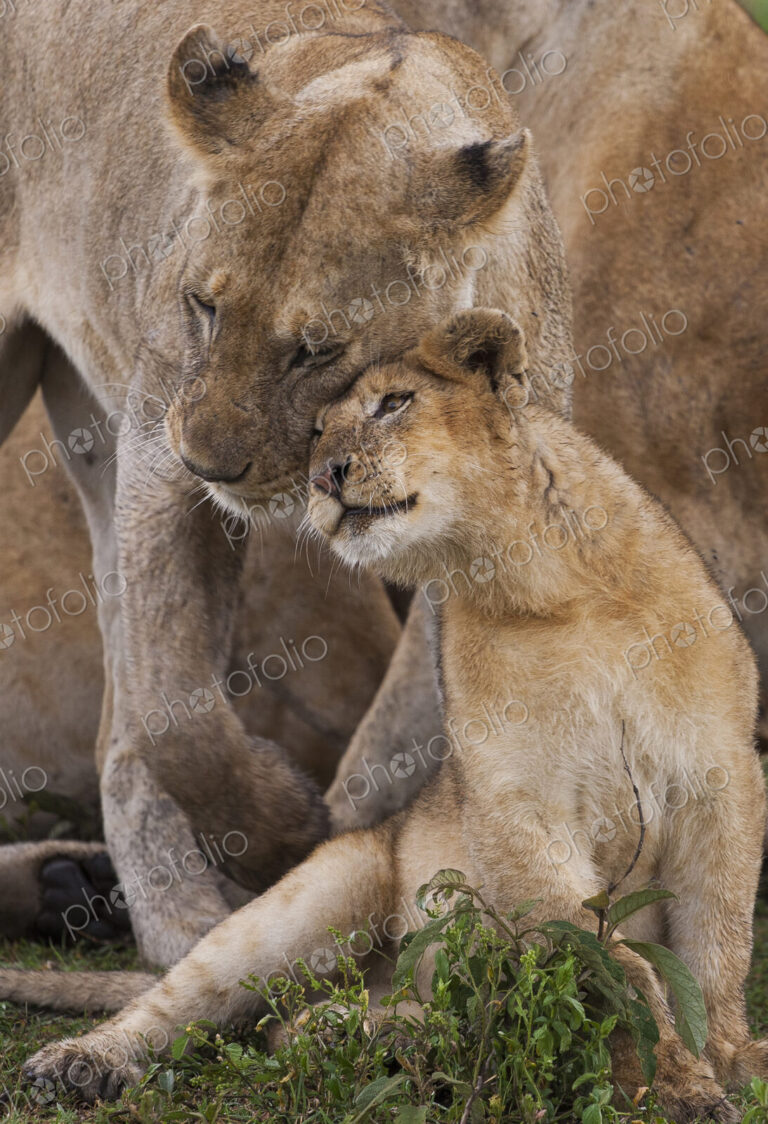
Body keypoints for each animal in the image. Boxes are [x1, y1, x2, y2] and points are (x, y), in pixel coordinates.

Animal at [0, 0, 572, 963]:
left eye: (317, 347)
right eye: (203, 304)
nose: (208, 460)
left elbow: (406, 740)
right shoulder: (155, 457)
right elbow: (177, 710)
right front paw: (277, 835)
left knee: (117, 739)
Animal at [5, 309, 765, 1121]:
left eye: (394, 403)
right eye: (314, 433)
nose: (323, 477)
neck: (544, 582)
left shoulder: (721, 779)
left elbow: (716, 948)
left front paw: (729, 1058)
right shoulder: (515, 806)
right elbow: (611, 968)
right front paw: (674, 1086)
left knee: (298, 1023)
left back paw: (394, 1041)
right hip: (327, 886)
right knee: (198, 1004)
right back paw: (80, 1064)